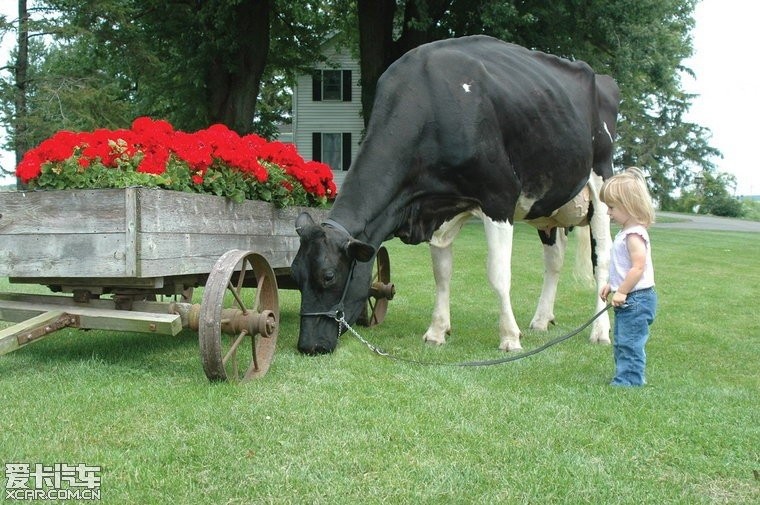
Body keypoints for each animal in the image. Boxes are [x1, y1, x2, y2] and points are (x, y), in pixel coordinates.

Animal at [290, 35, 616, 354]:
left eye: (329, 275)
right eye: (295, 274)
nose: (308, 346)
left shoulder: (499, 197)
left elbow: (499, 274)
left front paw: (510, 337)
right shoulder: (437, 211)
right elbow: (442, 273)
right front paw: (437, 331)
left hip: (601, 182)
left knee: (603, 260)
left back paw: (600, 332)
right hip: (548, 208)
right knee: (554, 259)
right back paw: (541, 320)